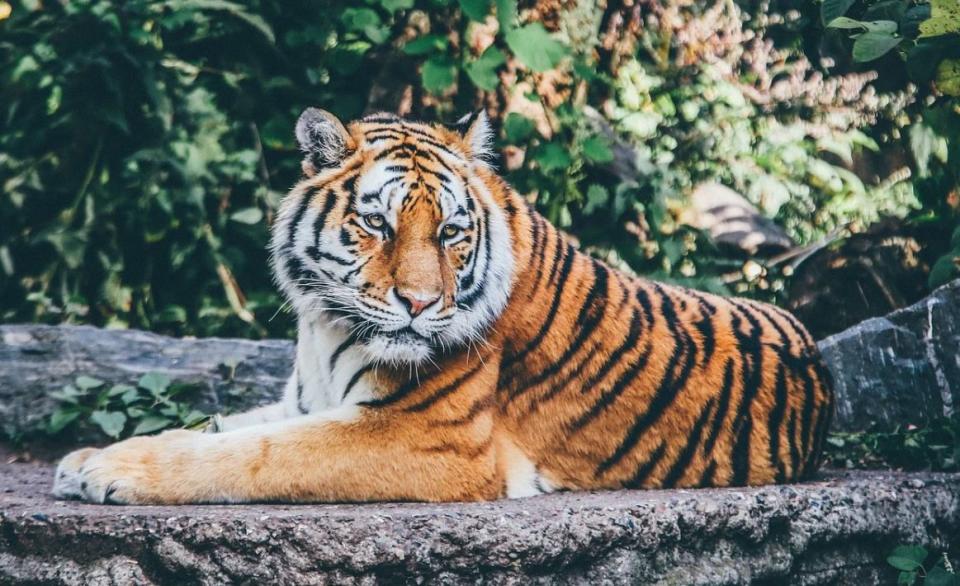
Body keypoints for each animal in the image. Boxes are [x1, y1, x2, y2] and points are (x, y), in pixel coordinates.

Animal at [52, 108, 832, 502]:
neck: (323, 325)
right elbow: (218, 428)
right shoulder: (305, 400)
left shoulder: (426, 437)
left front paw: (109, 472)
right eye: (378, 223)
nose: (422, 304)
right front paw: (88, 457)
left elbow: (253, 455)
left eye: (452, 232)